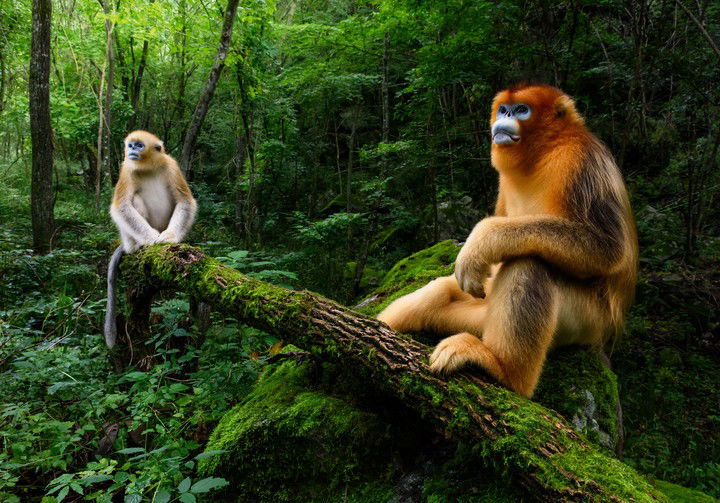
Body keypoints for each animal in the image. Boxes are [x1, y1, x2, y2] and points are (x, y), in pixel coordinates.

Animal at [103, 130, 197, 349]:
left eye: (138, 145)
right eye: (130, 145)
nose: (131, 150)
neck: (148, 167)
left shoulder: (171, 165)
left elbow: (184, 202)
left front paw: (169, 238)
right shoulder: (126, 169)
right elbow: (122, 206)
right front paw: (153, 239)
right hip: (128, 237)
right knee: (134, 200)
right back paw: (138, 245)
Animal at [378, 84, 638, 397]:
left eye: (521, 110)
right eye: (503, 110)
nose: (504, 119)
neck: (543, 152)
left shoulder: (581, 161)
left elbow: (609, 249)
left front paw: (481, 241)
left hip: (587, 321)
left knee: (529, 263)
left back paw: (503, 372)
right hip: (483, 314)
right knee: (441, 291)